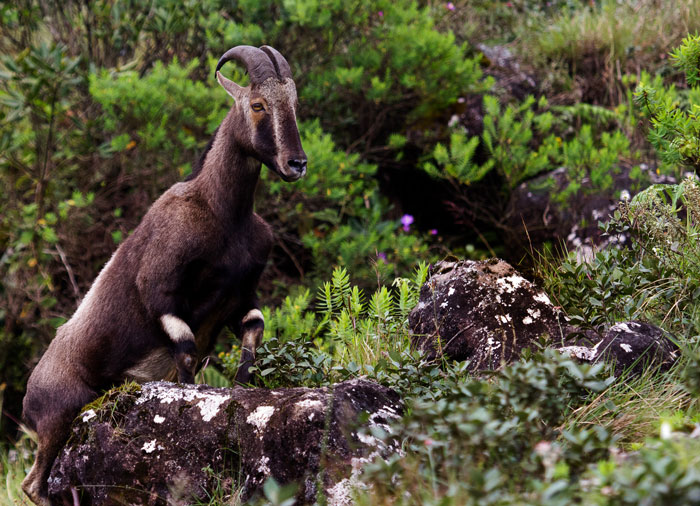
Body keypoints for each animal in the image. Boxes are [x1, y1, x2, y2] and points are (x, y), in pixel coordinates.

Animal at [21, 45, 306, 504]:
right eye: (258, 104)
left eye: (294, 104)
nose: (296, 163)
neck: (225, 215)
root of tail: (28, 398)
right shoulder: (160, 289)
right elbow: (186, 350)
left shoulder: (240, 295)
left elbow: (252, 333)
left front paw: (242, 388)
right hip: (58, 417)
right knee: (33, 483)